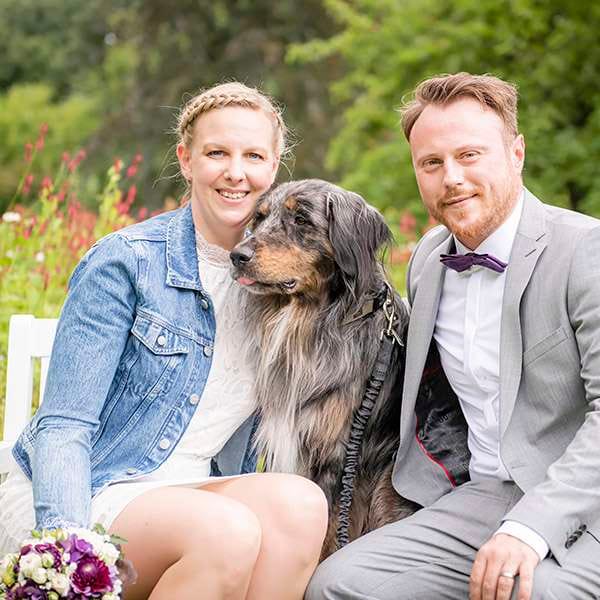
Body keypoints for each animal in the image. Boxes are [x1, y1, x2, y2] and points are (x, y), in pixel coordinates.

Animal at [230, 179, 419, 558]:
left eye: (302, 220)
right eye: (259, 218)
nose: (237, 255)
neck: (310, 319)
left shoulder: (335, 459)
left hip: (385, 489)